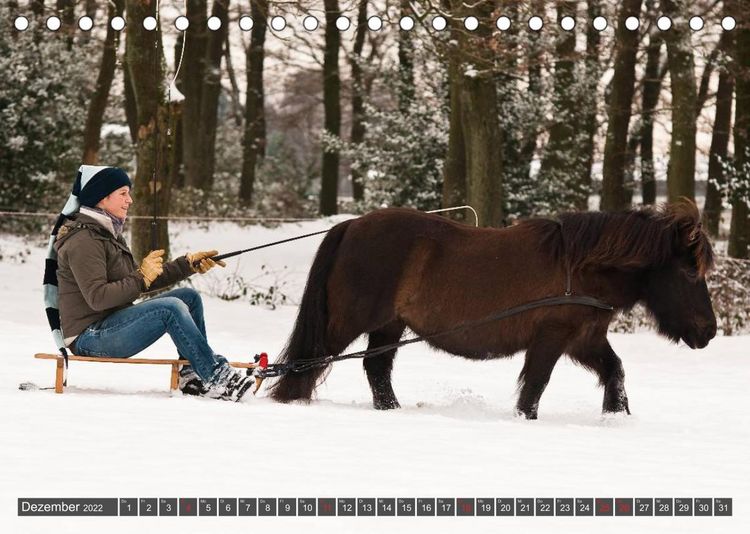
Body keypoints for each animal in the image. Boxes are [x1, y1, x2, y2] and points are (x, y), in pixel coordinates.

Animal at [269, 200, 716, 419]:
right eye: (688, 272)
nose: (708, 330)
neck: (579, 267)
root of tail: (351, 225)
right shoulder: (553, 336)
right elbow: (535, 384)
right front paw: (524, 420)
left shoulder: (584, 339)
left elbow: (615, 372)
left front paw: (616, 416)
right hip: (346, 323)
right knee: (309, 361)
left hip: (389, 326)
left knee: (375, 369)